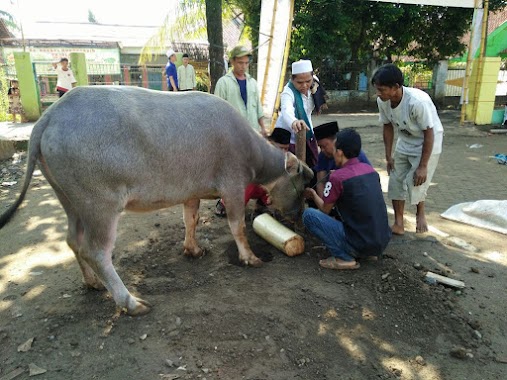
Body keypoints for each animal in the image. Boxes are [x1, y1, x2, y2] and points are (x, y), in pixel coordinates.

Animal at [0, 86, 314, 314]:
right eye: (302, 187)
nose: (298, 217)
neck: (251, 152)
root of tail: (49, 117)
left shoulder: (192, 192)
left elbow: (191, 219)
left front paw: (193, 249)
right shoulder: (233, 187)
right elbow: (237, 226)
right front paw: (250, 257)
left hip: (68, 198)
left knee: (72, 240)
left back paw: (92, 282)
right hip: (99, 205)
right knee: (95, 250)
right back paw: (130, 302)